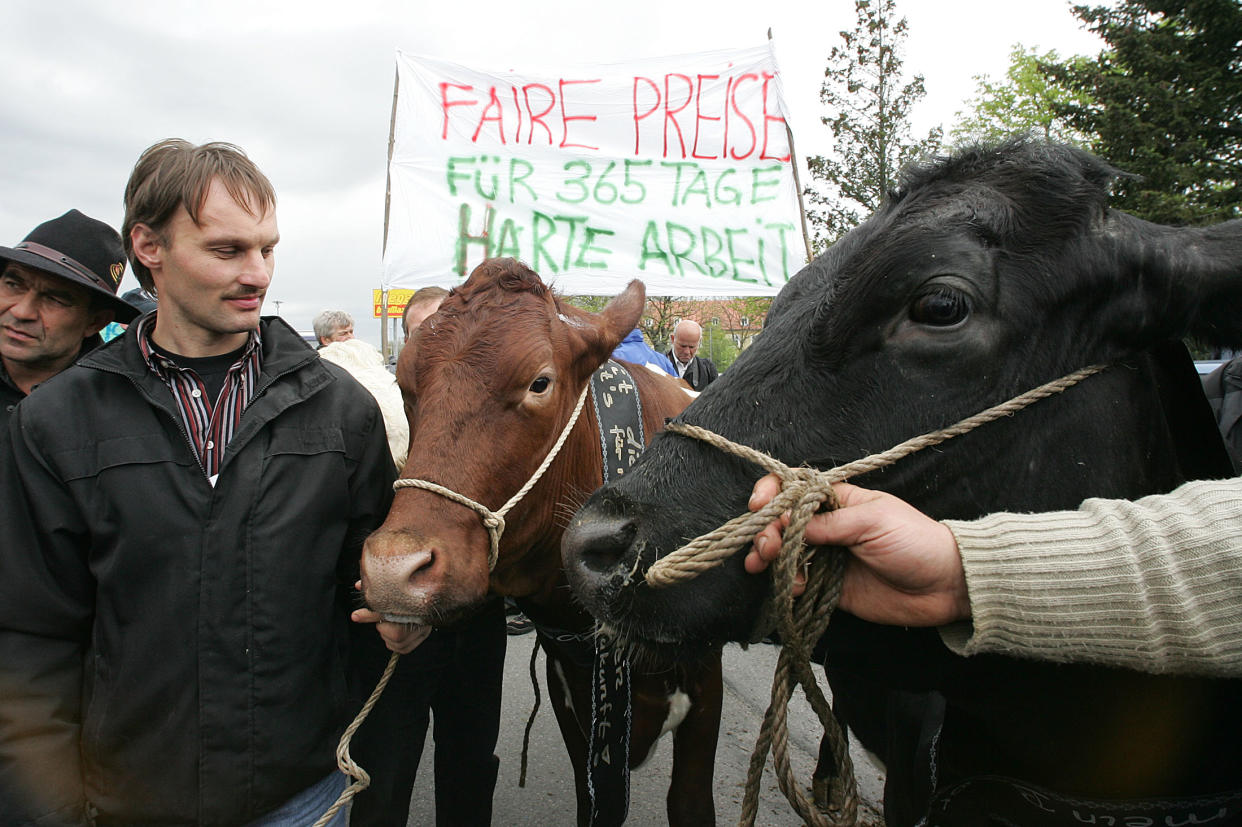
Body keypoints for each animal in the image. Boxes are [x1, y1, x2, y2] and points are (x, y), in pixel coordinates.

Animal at [360, 259, 725, 824]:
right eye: (403, 384)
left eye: (540, 382)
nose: (392, 570)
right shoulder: (569, 687)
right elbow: (595, 802)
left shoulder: (707, 686)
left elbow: (689, 803)